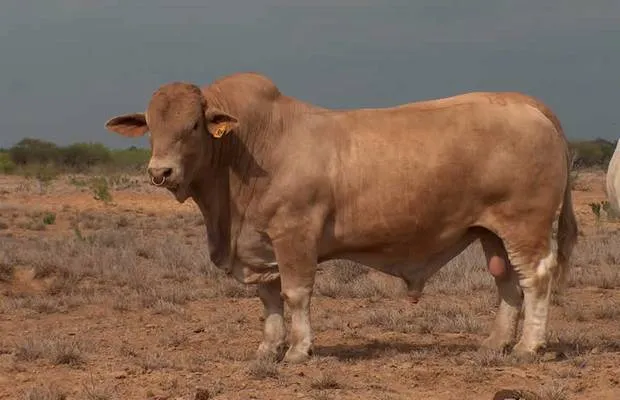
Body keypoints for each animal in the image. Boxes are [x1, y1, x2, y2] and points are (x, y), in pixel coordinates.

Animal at [105, 72, 576, 362]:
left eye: (193, 127)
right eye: (151, 127)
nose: (160, 172)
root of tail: (523, 103)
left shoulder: (294, 235)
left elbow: (295, 294)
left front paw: (299, 350)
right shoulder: (259, 244)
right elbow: (269, 298)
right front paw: (268, 349)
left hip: (525, 225)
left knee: (535, 277)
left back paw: (529, 347)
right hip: (491, 230)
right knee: (506, 280)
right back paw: (495, 343)